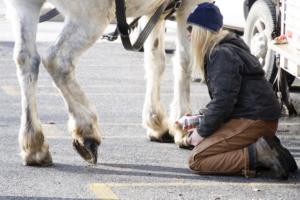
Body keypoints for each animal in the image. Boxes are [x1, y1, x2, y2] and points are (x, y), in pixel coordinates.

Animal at [2, 0, 209, 166]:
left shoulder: (155, 11)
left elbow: (155, 61)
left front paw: (156, 123)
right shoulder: (189, 6)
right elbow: (185, 61)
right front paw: (182, 125)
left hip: (25, 7)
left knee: (26, 60)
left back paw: (34, 146)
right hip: (92, 15)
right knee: (57, 60)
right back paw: (86, 130)